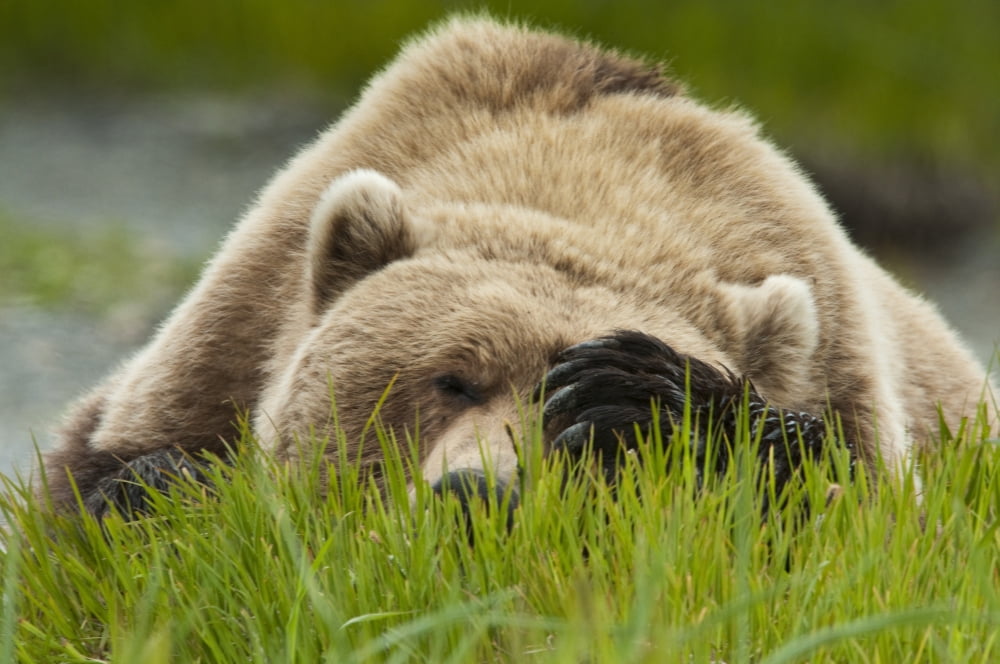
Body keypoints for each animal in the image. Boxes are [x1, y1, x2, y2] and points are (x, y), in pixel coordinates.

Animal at [43, 16, 996, 520]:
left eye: (561, 409)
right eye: (451, 378)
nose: (478, 493)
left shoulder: (846, 378)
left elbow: (850, 510)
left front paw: (643, 396)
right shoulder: (227, 339)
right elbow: (99, 473)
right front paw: (165, 488)